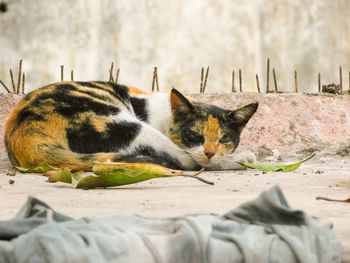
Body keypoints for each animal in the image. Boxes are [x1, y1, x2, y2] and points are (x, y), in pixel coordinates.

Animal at [4, 82, 258, 171]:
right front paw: (238, 157)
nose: (210, 152)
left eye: (224, 139)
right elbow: (192, 159)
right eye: (194, 135)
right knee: (187, 162)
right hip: (127, 125)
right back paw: (240, 160)